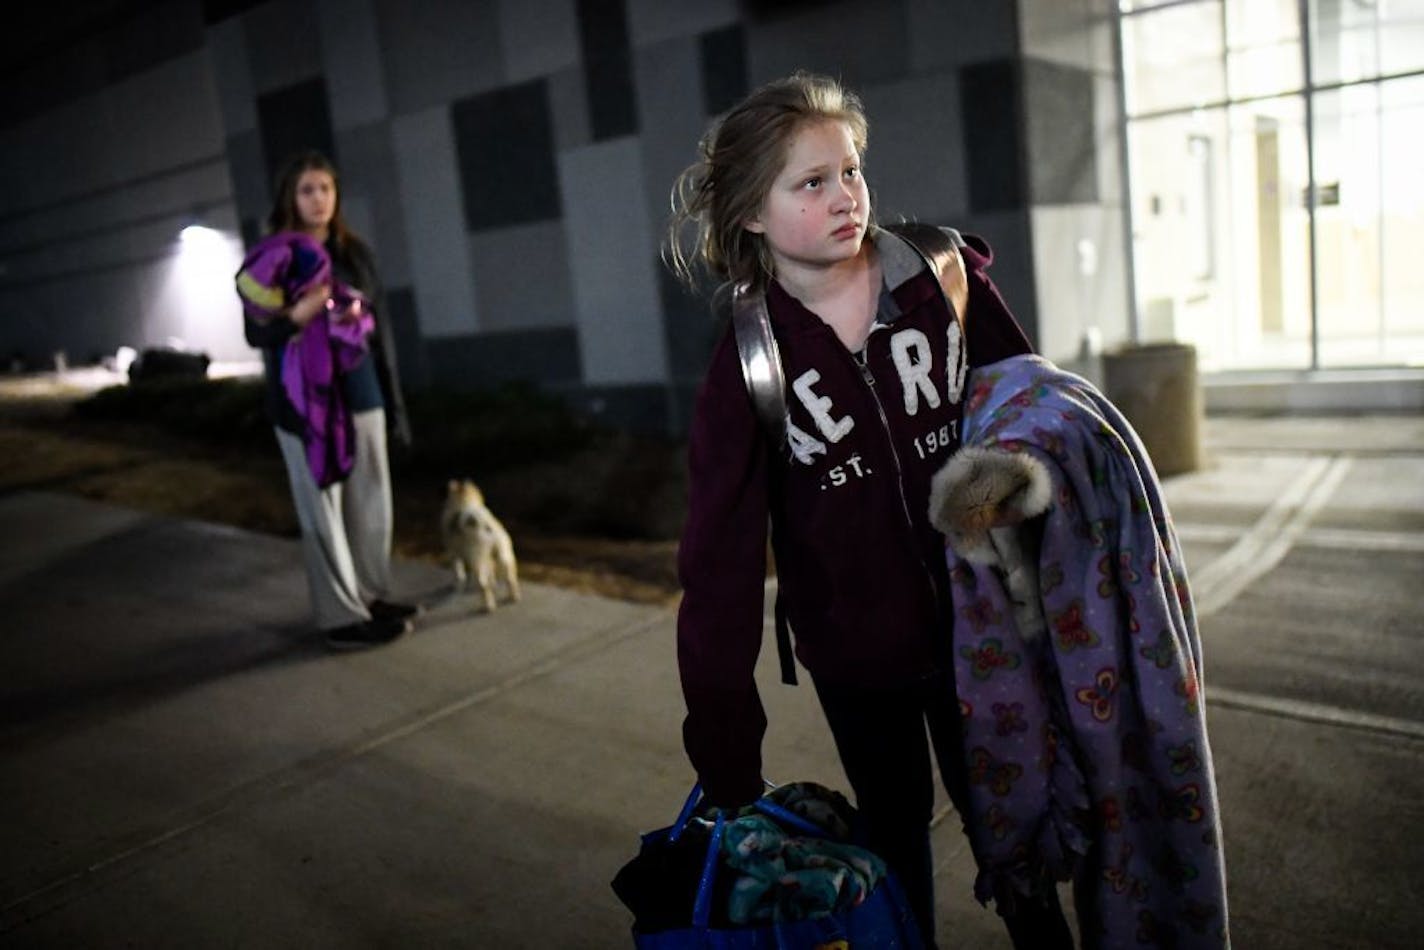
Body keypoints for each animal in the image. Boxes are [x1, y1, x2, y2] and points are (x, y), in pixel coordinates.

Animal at [438, 478, 524, 612]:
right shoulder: (488, 559)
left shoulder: (453, 554)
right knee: (510, 579)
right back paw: (513, 597)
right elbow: (491, 572)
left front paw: (457, 585)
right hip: (504, 555)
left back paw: (488, 606)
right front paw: (493, 582)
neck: (464, 502)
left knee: (483, 585)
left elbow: (458, 573)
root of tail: (486, 524)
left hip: (478, 559)